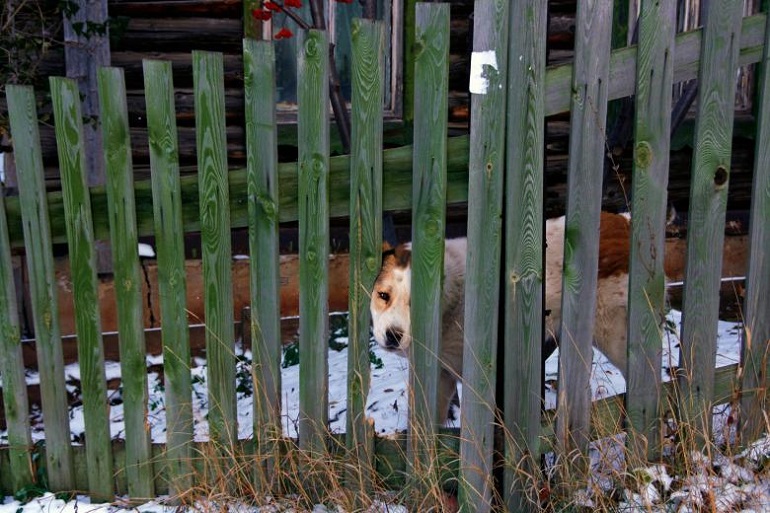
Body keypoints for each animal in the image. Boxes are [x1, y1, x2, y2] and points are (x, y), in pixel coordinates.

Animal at [370, 210, 632, 418]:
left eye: (414, 303)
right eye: (383, 295)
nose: (393, 335)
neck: (450, 305)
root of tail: (624, 221)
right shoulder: (441, 376)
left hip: (614, 338)